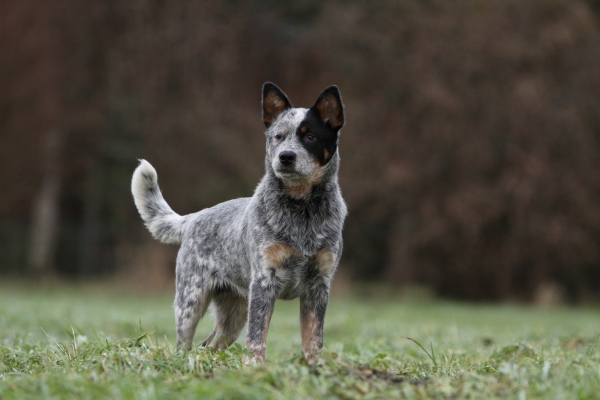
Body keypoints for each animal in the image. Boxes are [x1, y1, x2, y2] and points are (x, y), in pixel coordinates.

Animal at [131, 83, 346, 364]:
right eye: (278, 136)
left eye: (310, 137)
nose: (286, 156)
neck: (303, 210)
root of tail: (194, 217)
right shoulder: (264, 281)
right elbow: (256, 338)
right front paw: (256, 367)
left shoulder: (319, 285)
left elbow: (313, 340)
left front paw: (313, 367)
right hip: (191, 301)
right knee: (185, 344)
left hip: (234, 311)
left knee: (211, 345)